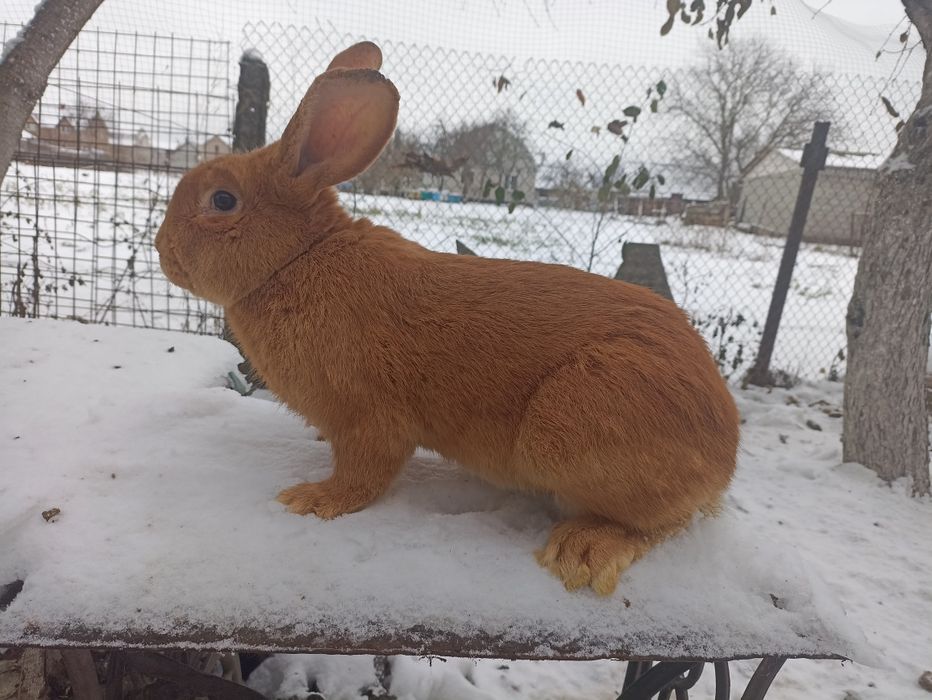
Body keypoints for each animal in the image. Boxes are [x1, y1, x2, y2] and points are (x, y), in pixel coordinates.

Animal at [155, 41, 739, 595]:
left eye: (222, 201)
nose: (161, 251)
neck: (298, 258)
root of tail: (722, 457)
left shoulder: (368, 415)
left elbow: (365, 472)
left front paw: (312, 500)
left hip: (574, 424)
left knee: (658, 524)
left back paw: (584, 550)